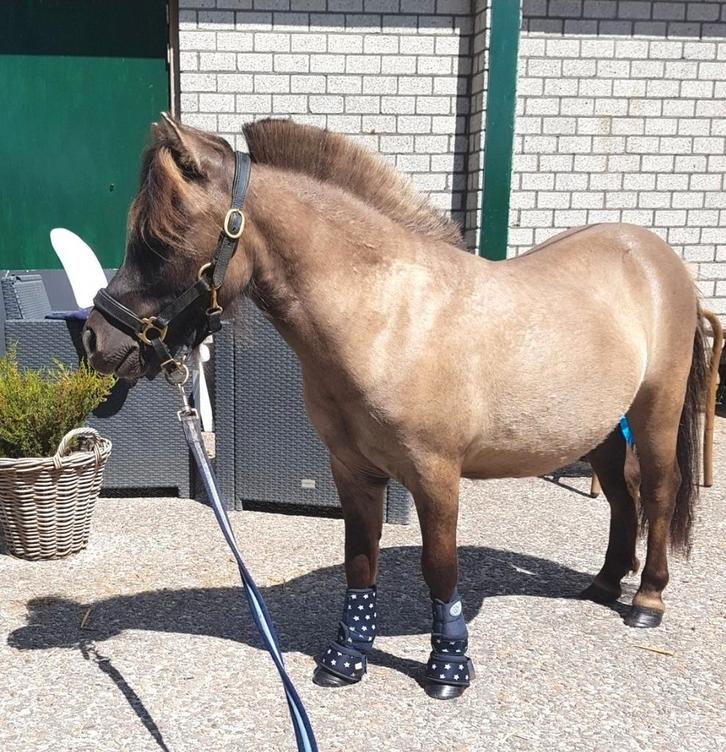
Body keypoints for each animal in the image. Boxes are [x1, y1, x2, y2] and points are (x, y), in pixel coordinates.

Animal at [84, 115, 707, 700]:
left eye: (161, 239)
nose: (94, 338)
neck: (388, 319)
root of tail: (655, 256)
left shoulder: (435, 475)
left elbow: (440, 567)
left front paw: (448, 668)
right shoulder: (351, 469)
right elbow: (361, 558)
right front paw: (345, 659)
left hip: (655, 410)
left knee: (658, 491)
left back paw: (646, 599)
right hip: (599, 429)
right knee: (622, 497)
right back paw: (603, 583)